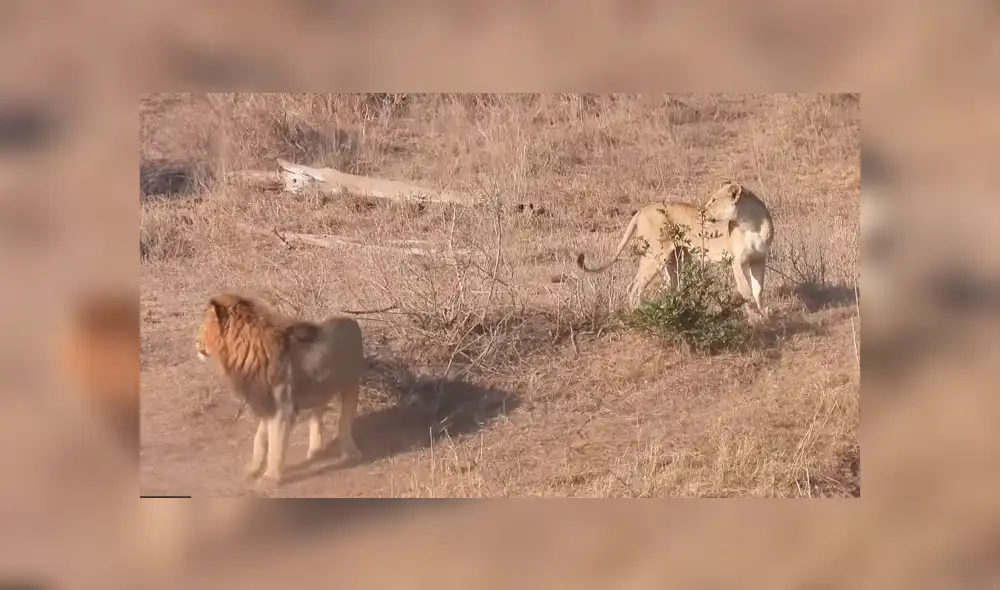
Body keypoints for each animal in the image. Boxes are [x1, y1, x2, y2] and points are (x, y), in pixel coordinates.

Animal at [195, 292, 365, 486]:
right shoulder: (266, 402)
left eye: (205, 325)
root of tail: (351, 320)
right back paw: (315, 451)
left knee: (344, 422)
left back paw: (350, 453)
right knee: (317, 413)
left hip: (350, 385)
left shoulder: (282, 407)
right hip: (319, 389)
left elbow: (276, 444)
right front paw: (253, 468)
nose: (195, 341)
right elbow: (260, 438)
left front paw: (269, 479)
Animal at [576, 180, 775, 317]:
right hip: (655, 256)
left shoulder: (759, 260)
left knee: (670, 287)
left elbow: (758, 289)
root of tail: (642, 209)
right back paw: (640, 314)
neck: (751, 223)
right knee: (634, 287)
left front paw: (763, 315)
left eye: (713, 200)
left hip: (675, 259)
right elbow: (746, 291)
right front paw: (754, 319)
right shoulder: (737, 262)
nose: (702, 212)